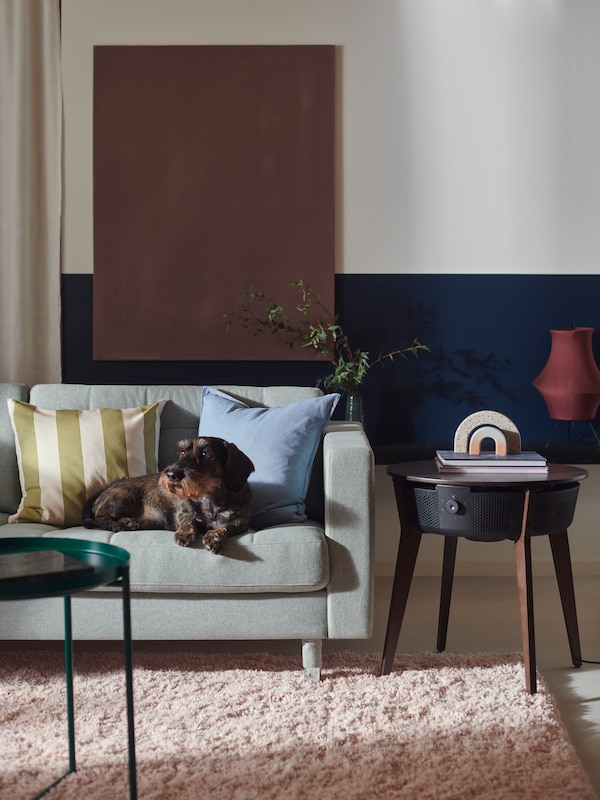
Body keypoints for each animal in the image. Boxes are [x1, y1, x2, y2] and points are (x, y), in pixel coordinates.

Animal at [82, 434, 253, 552]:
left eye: (206, 454)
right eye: (182, 452)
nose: (171, 474)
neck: (209, 498)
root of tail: (103, 490)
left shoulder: (241, 522)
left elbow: (225, 527)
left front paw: (214, 537)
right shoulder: (182, 514)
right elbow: (188, 521)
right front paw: (185, 533)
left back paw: (130, 522)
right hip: (124, 497)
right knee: (96, 518)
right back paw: (115, 524)